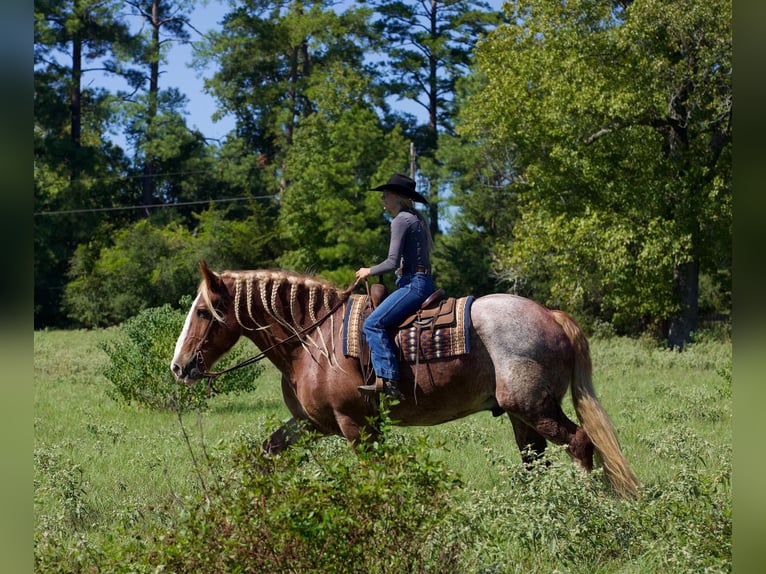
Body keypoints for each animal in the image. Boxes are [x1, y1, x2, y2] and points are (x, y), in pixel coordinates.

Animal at [171, 262, 640, 500]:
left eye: (202, 311)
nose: (178, 366)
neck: (313, 338)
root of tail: (552, 316)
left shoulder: (356, 424)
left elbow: (375, 472)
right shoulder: (310, 424)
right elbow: (265, 455)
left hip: (534, 407)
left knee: (579, 442)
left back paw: (586, 502)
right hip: (520, 414)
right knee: (534, 460)